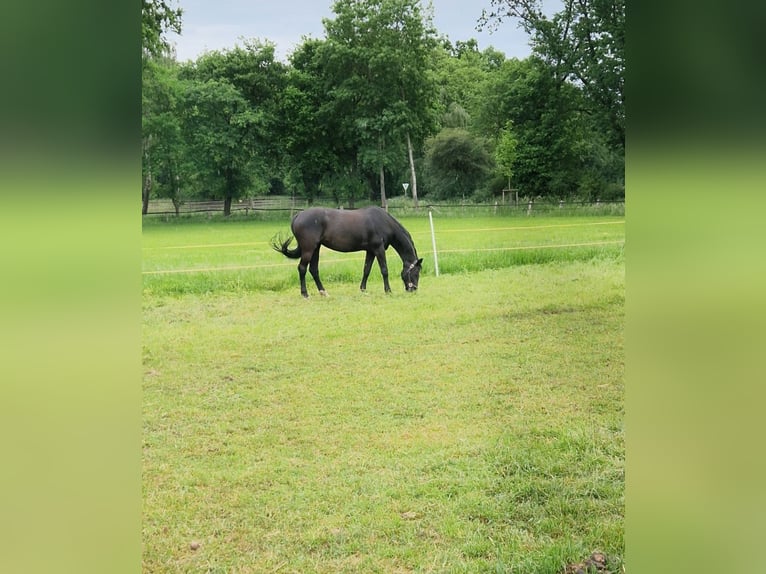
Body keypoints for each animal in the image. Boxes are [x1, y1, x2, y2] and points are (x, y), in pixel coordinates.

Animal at [272, 208, 426, 300]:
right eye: (416, 273)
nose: (413, 289)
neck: (383, 222)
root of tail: (298, 215)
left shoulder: (370, 251)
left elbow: (366, 270)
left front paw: (363, 289)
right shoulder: (378, 249)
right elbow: (384, 270)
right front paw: (388, 291)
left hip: (316, 248)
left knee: (314, 269)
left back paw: (323, 292)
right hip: (309, 249)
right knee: (302, 268)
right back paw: (305, 294)